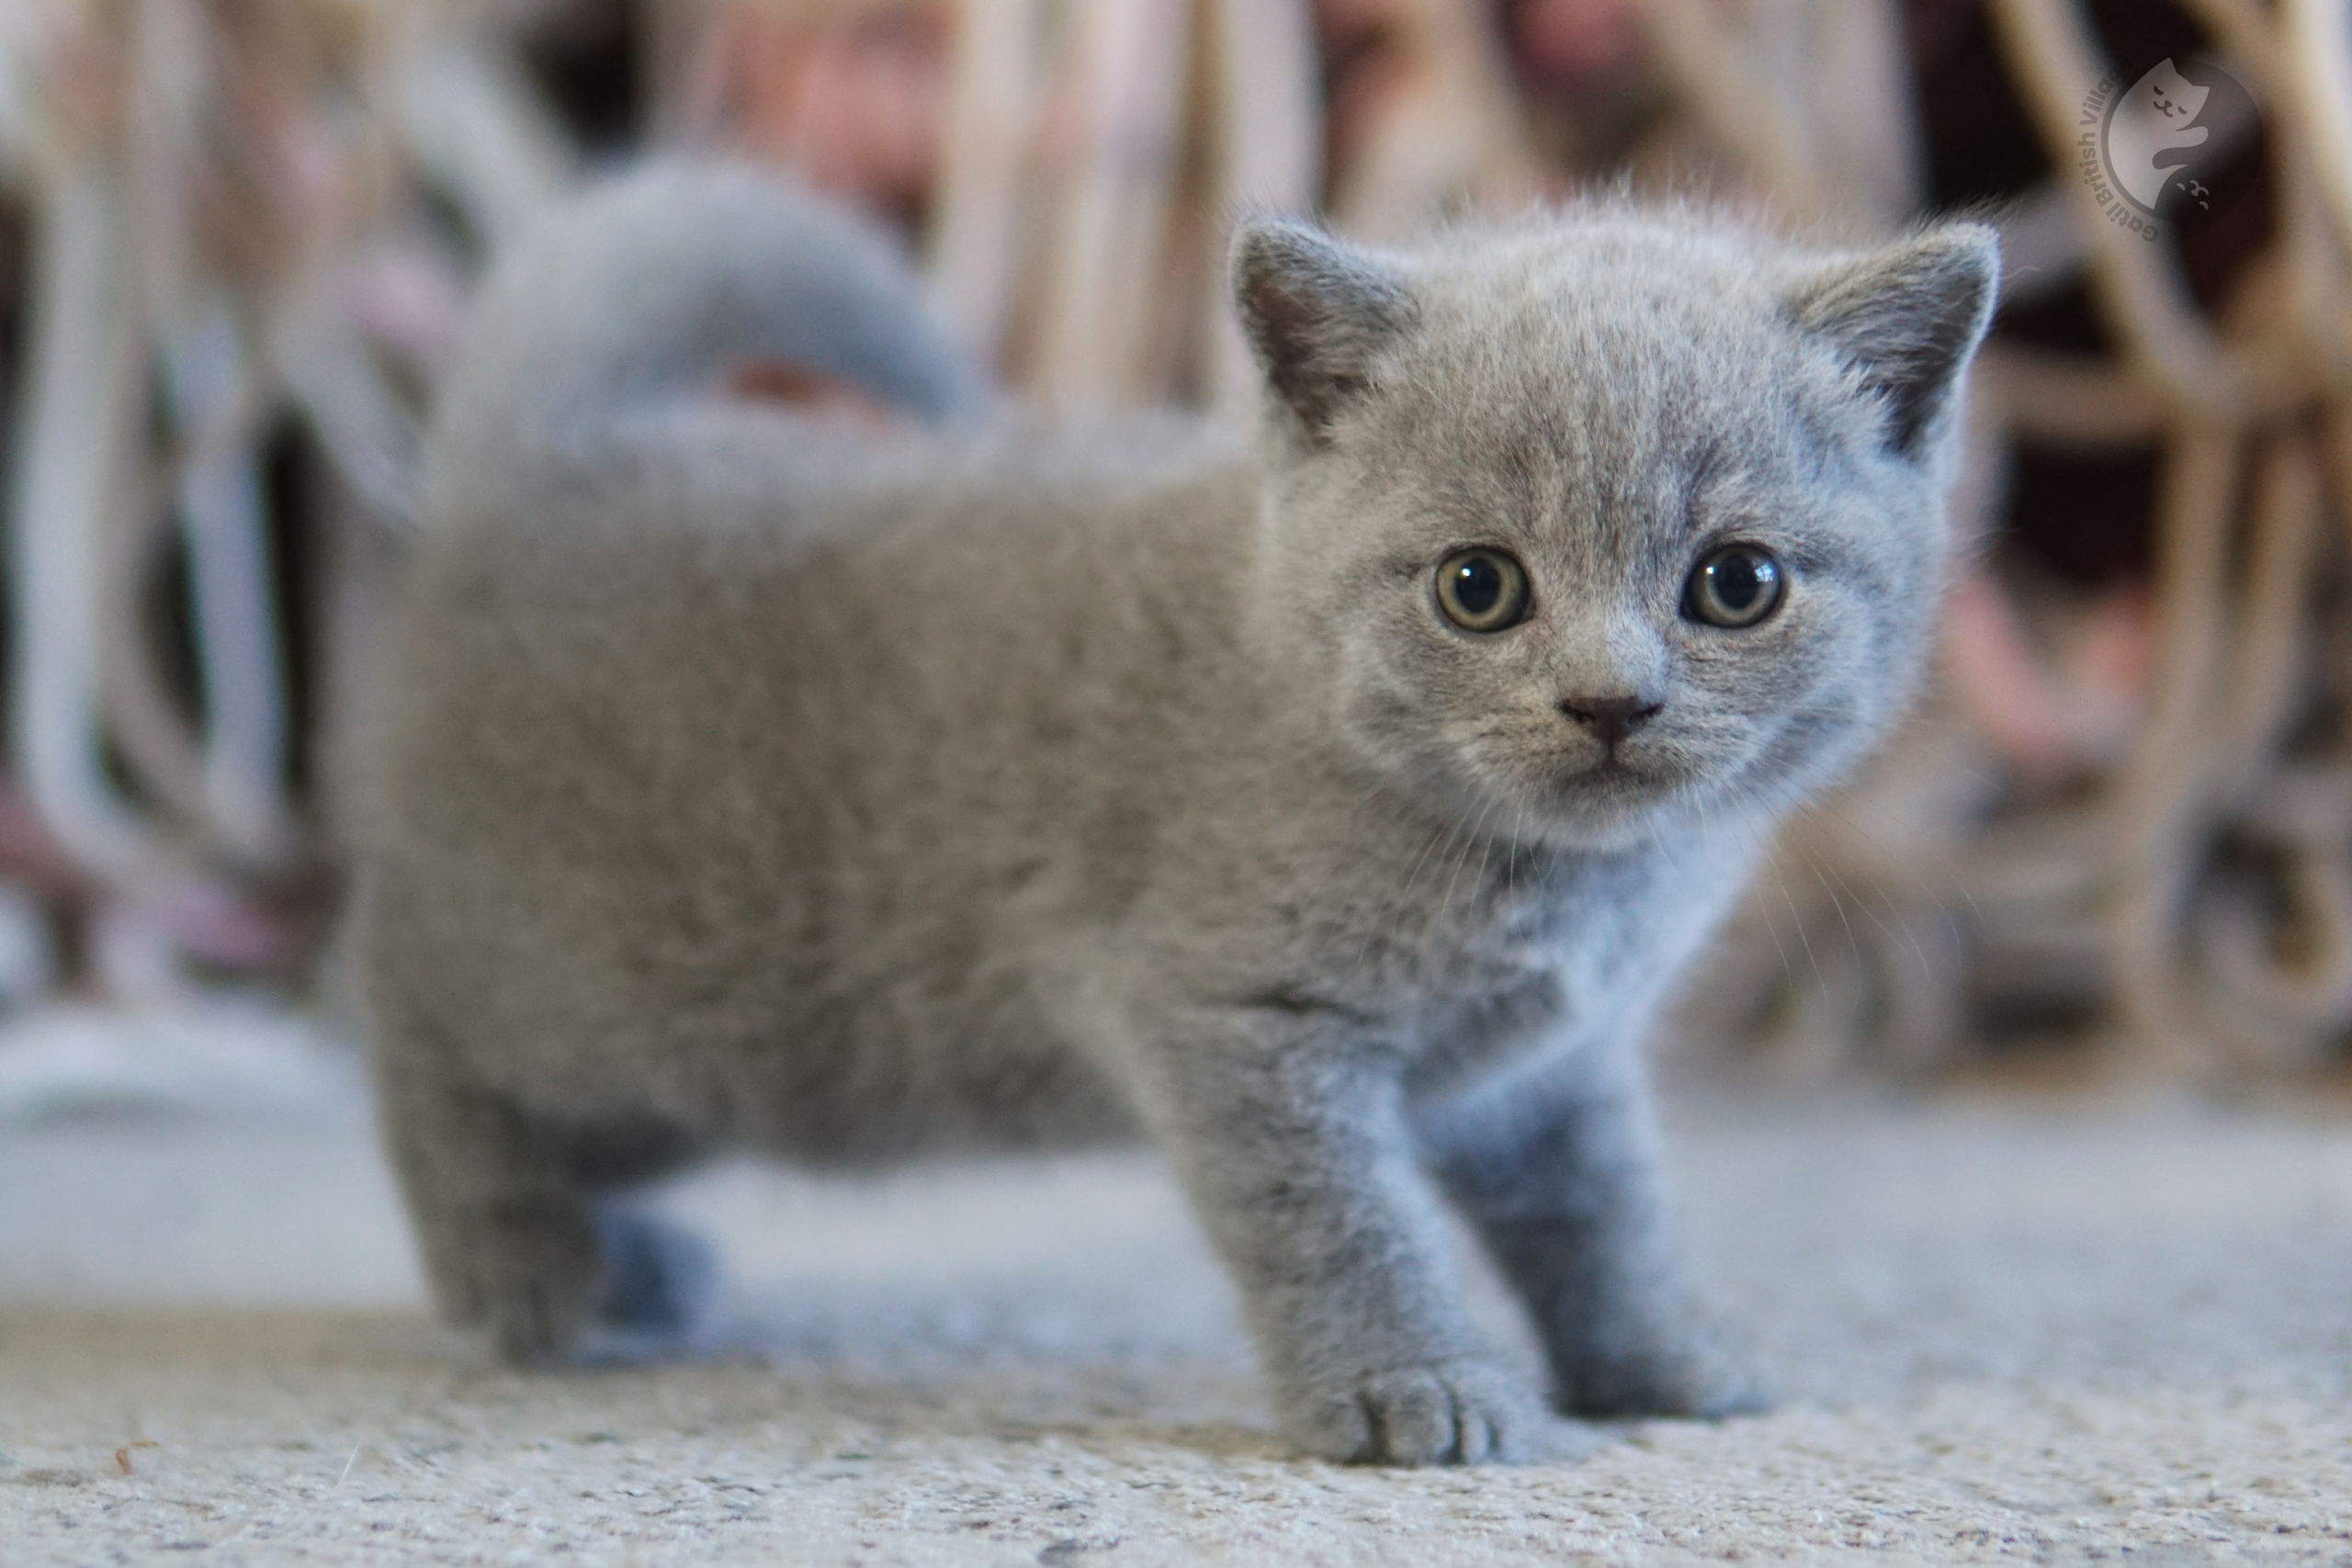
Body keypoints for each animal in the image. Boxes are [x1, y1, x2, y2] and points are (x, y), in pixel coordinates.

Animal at [357, 162, 1994, 1476]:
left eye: (1737, 583)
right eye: (1480, 586)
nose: (1609, 701)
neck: (1552, 888)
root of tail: (549, 468)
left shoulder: (1548, 1064)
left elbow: (1606, 1211)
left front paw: (1664, 1357)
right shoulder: (1241, 1017)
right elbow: (1345, 1217)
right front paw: (1417, 1387)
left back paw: (632, 1261)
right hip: (626, 1006)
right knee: (402, 1018)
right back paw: (522, 1268)